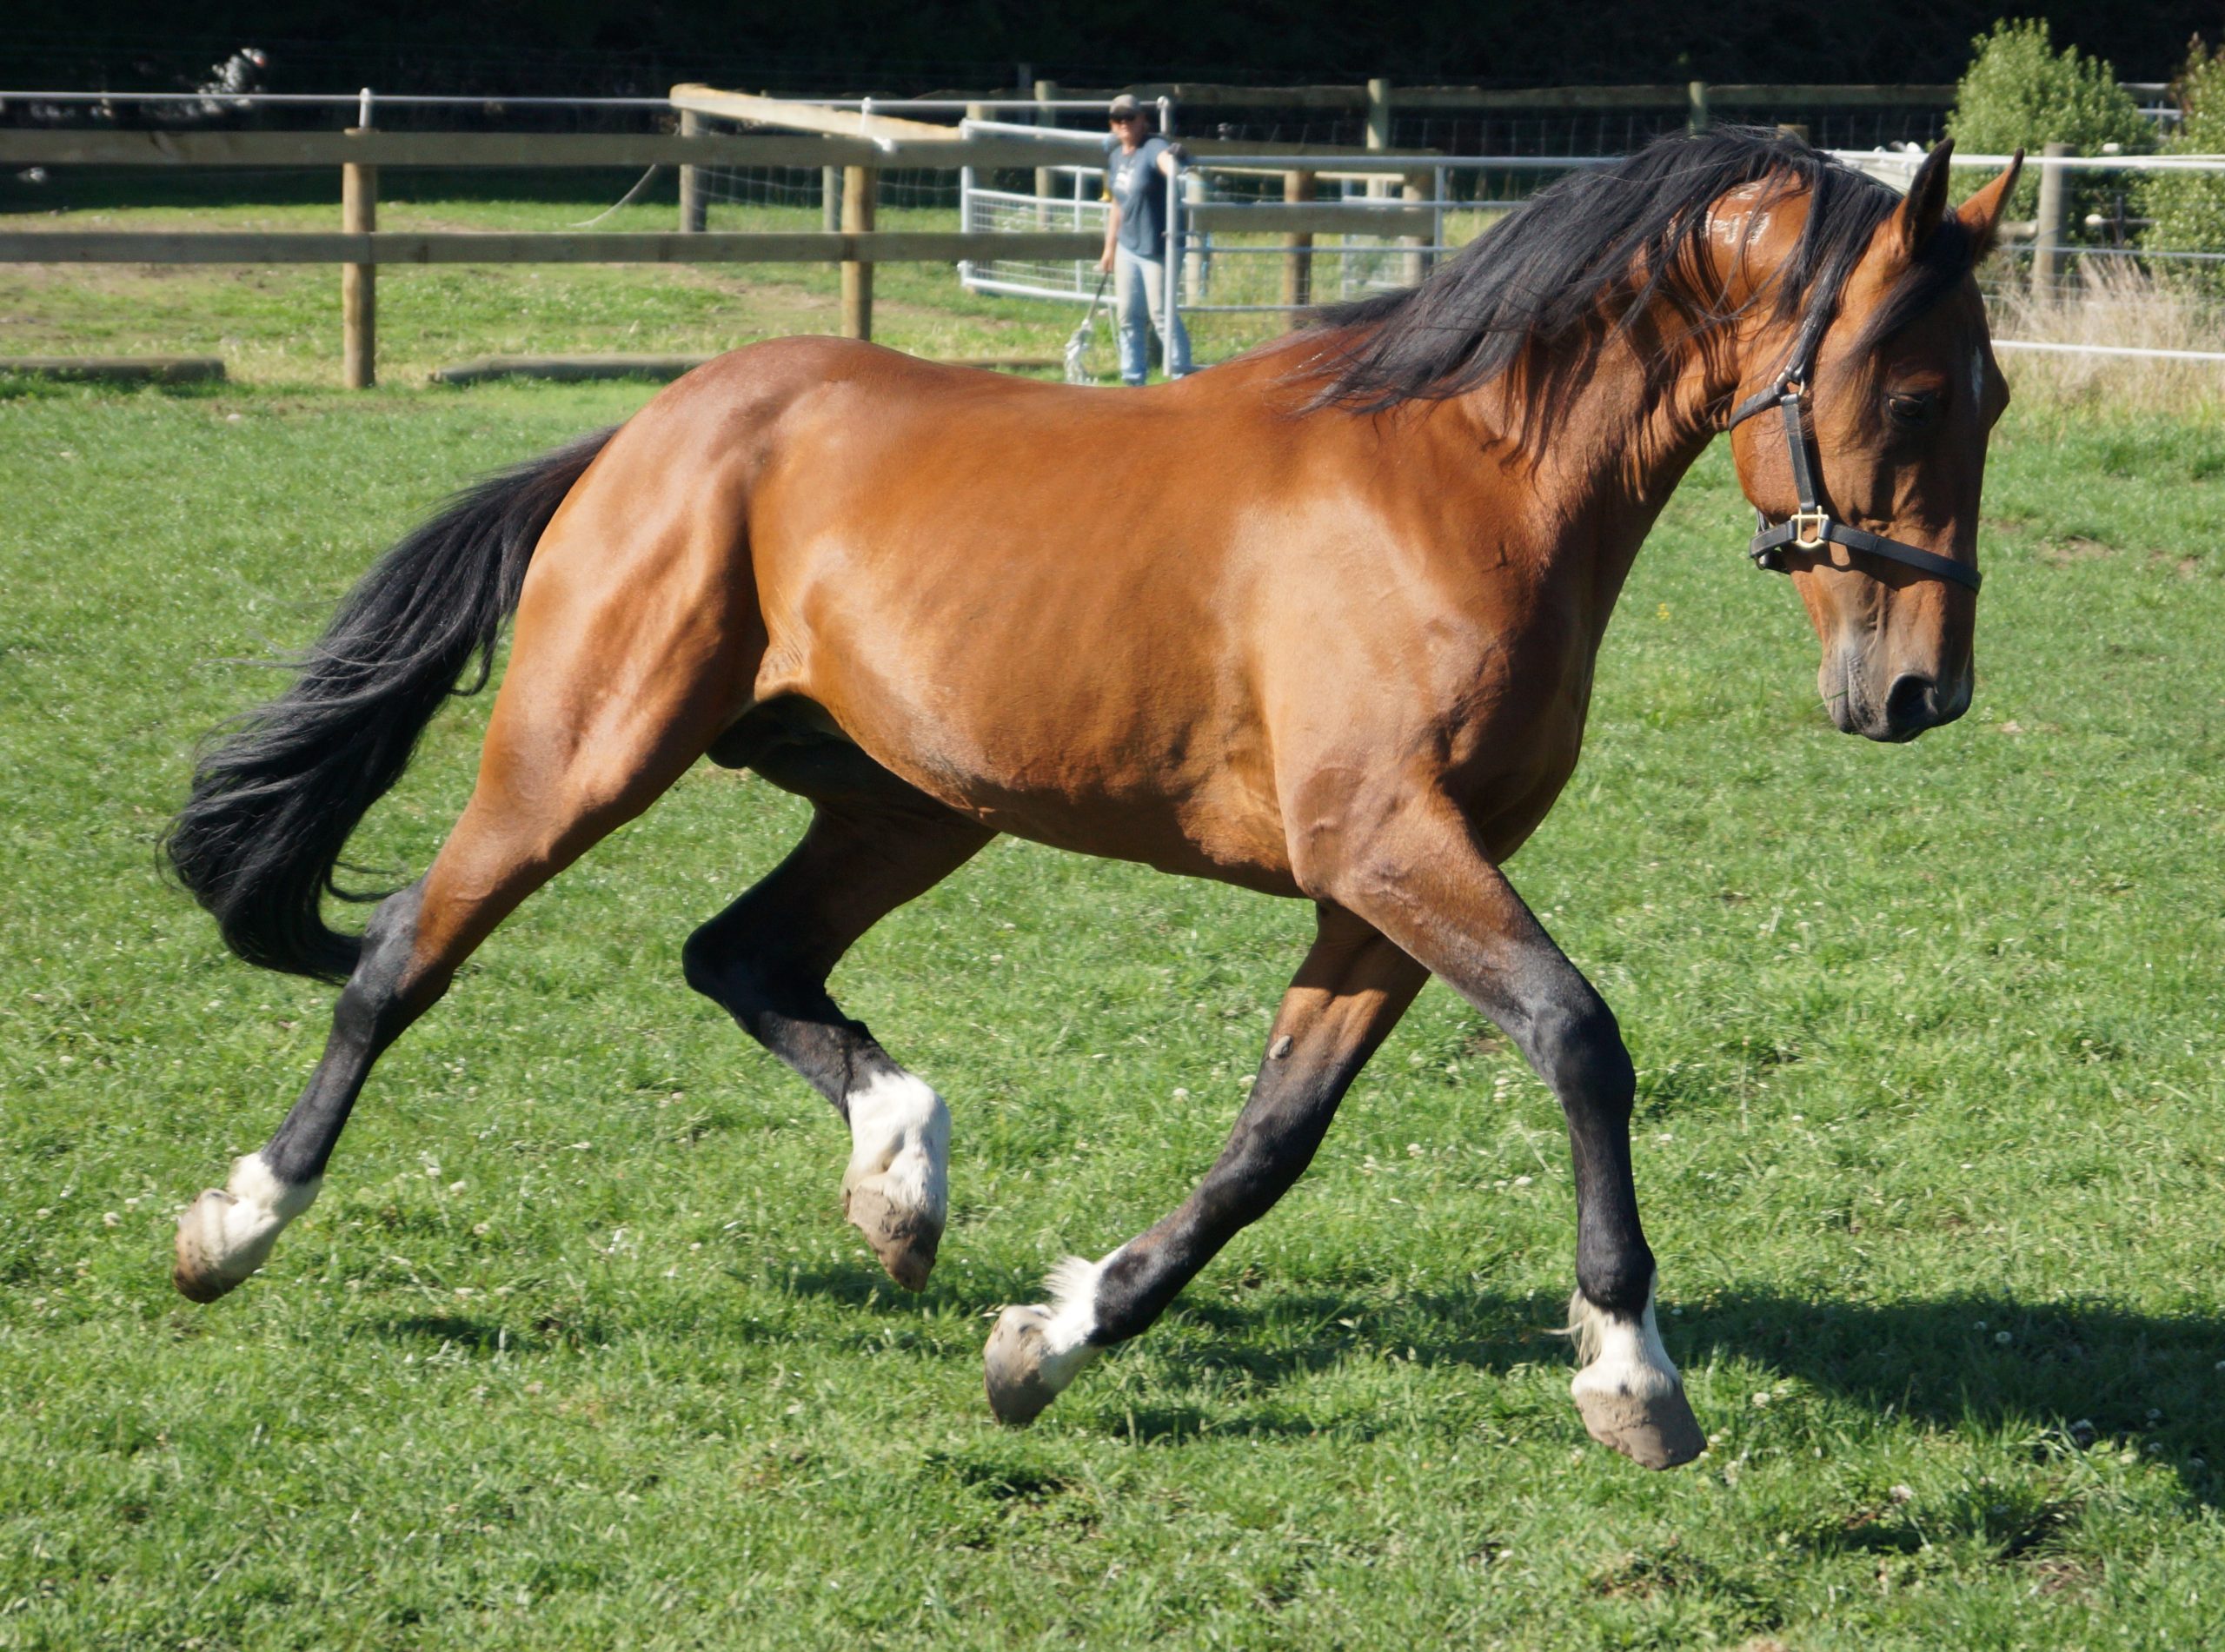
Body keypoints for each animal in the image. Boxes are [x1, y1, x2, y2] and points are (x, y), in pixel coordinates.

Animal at [166, 129, 2022, 1470]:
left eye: (1995, 395)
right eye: (1915, 392)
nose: (1921, 694)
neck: (1463, 484)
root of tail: (650, 430)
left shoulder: (1387, 885)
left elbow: (1271, 1140)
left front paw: (1047, 1345)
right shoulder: (1387, 846)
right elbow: (1579, 1037)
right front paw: (1631, 1372)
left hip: (914, 798)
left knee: (740, 953)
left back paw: (902, 1180)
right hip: (582, 752)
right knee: (405, 955)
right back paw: (235, 1224)